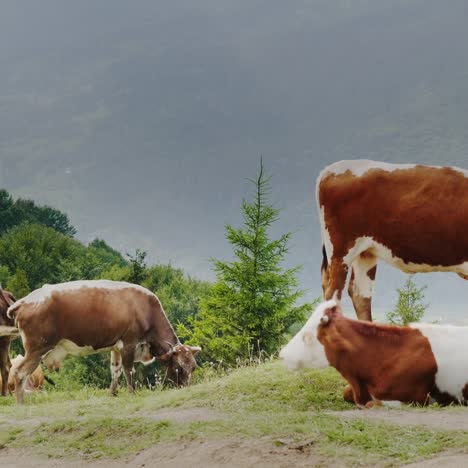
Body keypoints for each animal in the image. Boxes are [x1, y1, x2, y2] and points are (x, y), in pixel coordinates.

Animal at [6, 280, 201, 404]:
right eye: (179, 367)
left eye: (193, 367)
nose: (186, 388)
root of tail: (24, 301)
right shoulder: (129, 343)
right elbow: (129, 370)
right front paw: (132, 392)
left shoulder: (116, 347)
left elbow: (115, 370)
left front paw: (113, 393)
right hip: (37, 349)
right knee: (19, 372)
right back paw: (21, 403)